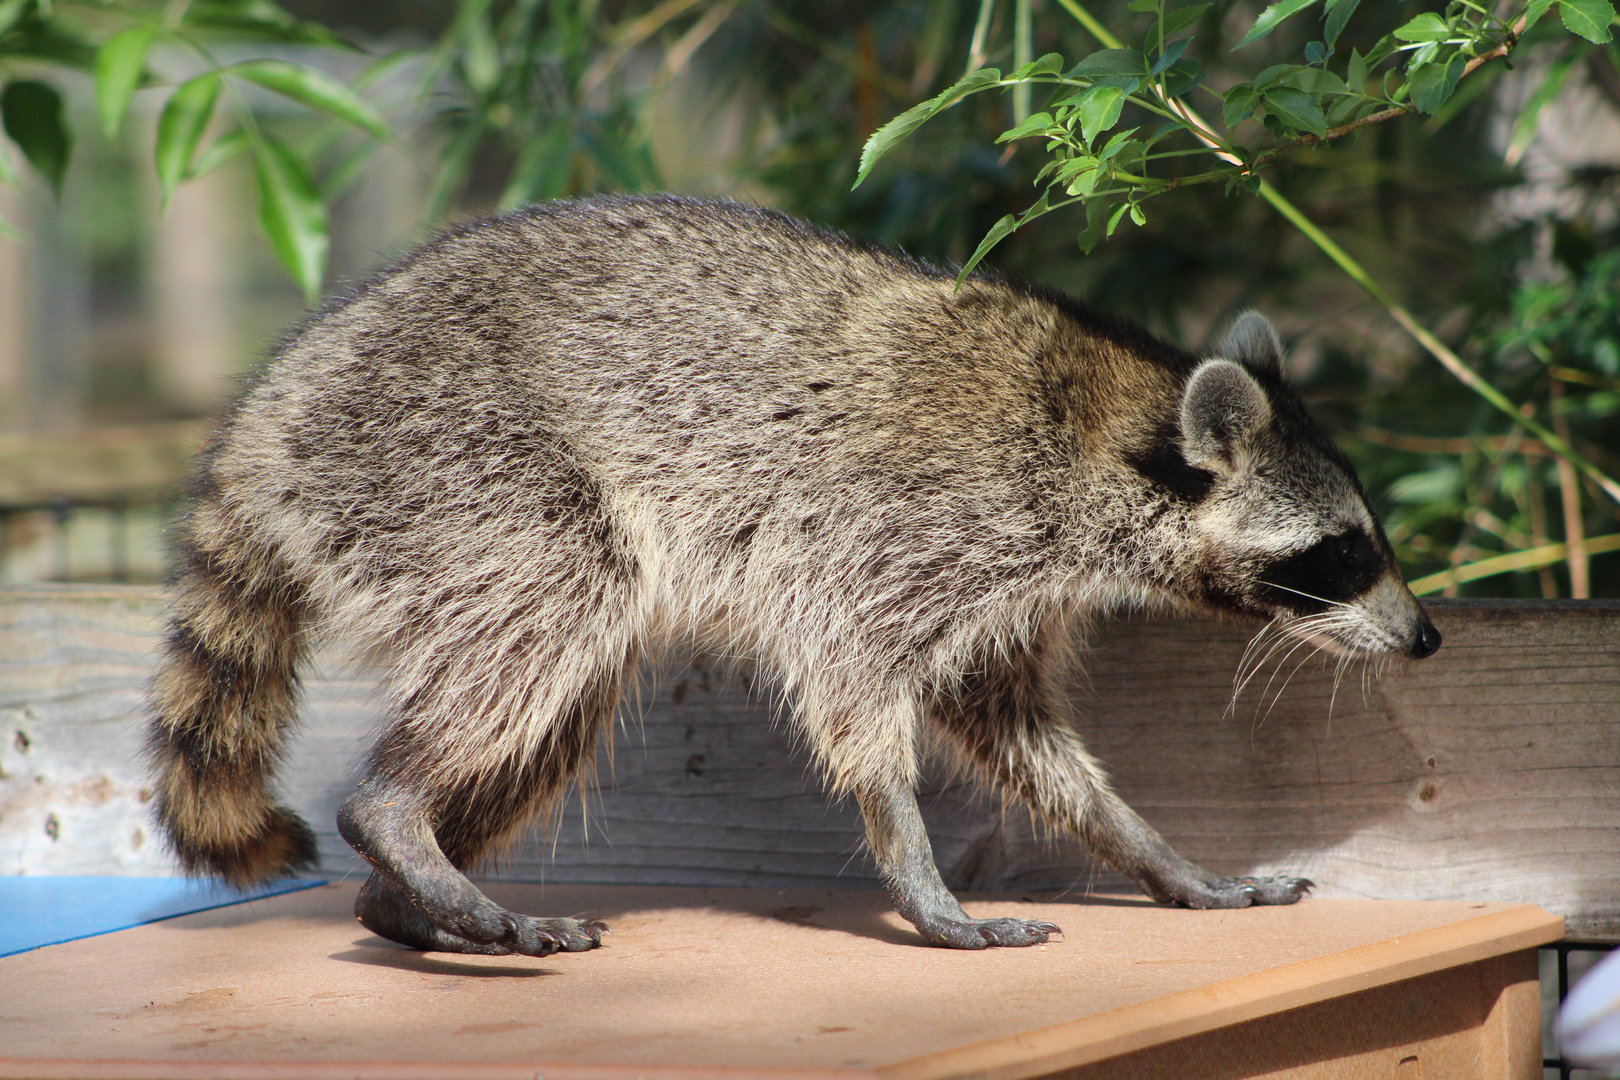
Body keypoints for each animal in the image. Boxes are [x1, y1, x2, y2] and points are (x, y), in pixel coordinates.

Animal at [147, 193, 1440, 954]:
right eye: (1344, 552)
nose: (1425, 638)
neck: (1106, 424)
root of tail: (269, 416)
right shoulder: (900, 531)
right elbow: (856, 694)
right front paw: (918, 873)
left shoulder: (1007, 587)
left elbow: (1017, 731)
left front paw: (1153, 852)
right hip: (459, 463)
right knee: (546, 618)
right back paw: (401, 823)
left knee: (556, 702)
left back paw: (409, 898)